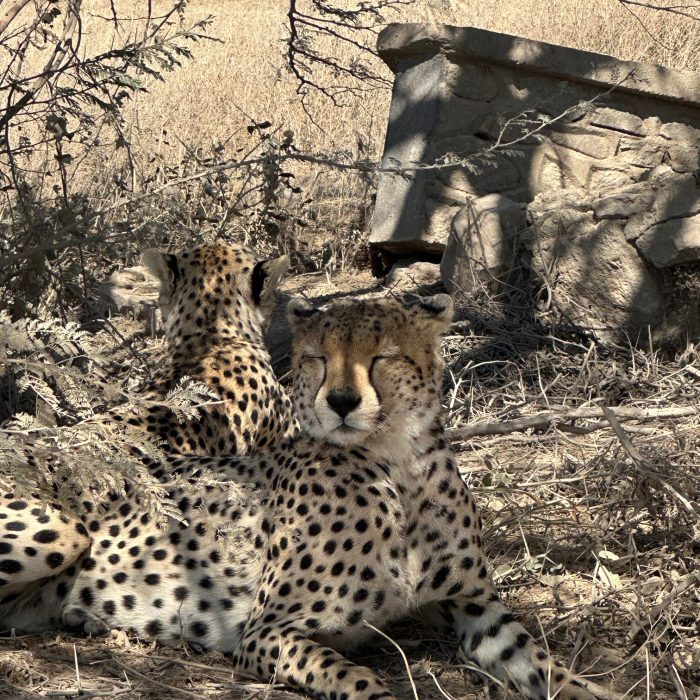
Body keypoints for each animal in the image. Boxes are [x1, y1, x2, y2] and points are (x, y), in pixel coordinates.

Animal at [0, 295, 622, 700]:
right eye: (318, 358)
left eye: (382, 356)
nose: (343, 401)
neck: (397, 468)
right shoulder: (267, 630)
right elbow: (360, 681)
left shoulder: (478, 609)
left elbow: (549, 667)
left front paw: (595, 690)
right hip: (63, 531)